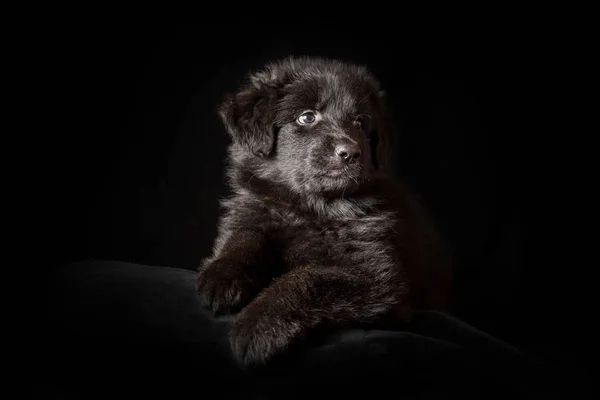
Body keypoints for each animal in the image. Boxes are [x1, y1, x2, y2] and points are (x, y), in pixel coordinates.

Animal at [196, 54, 450, 368]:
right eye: (307, 117)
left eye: (359, 122)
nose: (350, 153)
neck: (308, 208)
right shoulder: (251, 210)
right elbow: (243, 238)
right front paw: (221, 275)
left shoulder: (377, 275)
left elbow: (307, 279)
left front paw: (256, 325)